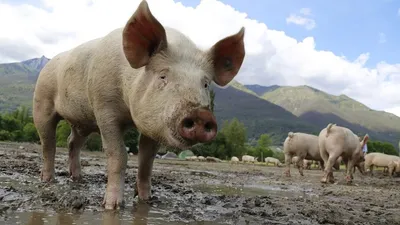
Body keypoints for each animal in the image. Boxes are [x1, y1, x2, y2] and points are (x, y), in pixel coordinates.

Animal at [32, 0, 245, 211]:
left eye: (205, 83)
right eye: (163, 76)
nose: (201, 114)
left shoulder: (154, 124)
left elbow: (146, 160)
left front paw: (147, 200)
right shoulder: (104, 108)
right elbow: (118, 155)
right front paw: (112, 206)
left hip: (82, 122)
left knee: (71, 142)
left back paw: (77, 178)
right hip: (42, 101)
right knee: (48, 143)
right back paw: (47, 180)